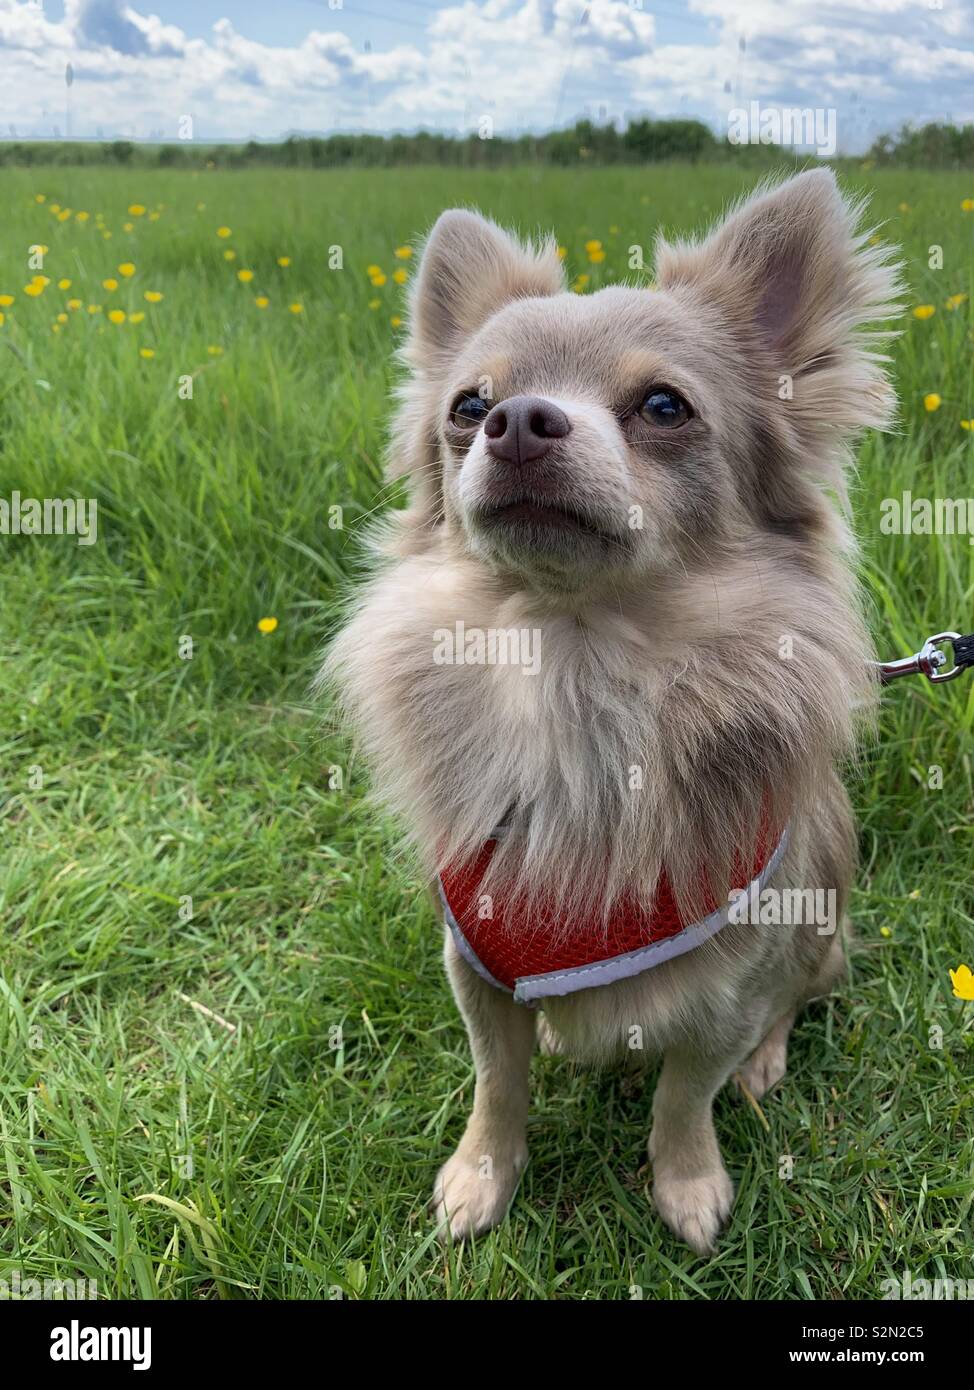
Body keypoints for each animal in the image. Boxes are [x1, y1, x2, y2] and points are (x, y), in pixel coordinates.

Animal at [322, 168, 900, 1256]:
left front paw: (686, 1185)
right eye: (467, 405)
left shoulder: (725, 985)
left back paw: (766, 1063)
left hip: (821, 927)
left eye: (664, 405)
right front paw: (481, 1177)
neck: (573, 663)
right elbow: (496, 1082)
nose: (515, 420)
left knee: (793, 1003)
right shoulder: (475, 965)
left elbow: (683, 1093)